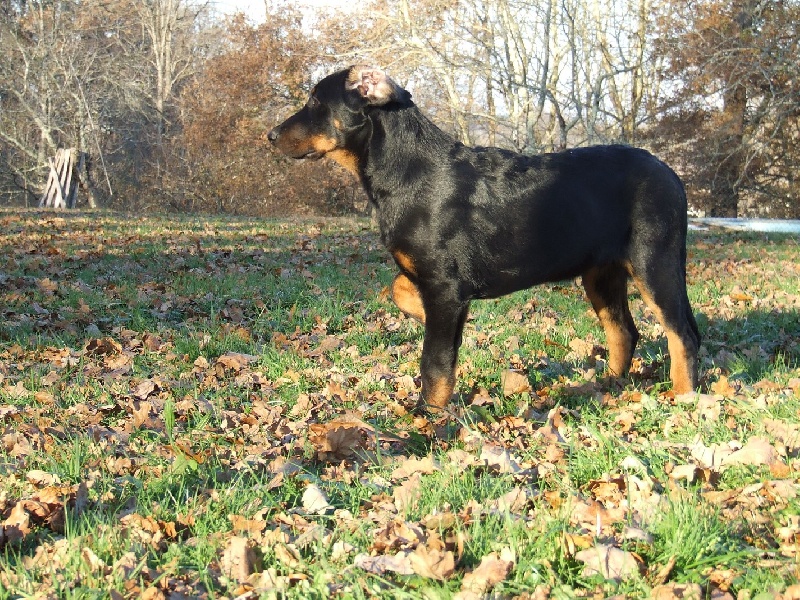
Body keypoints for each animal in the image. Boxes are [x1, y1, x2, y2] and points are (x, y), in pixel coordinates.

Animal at [266, 65, 696, 412]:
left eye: (315, 101)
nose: (269, 136)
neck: (406, 171)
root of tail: (671, 174)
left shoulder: (443, 284)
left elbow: (435, 362)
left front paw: (428, 417)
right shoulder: (434, 281)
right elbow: (398, 289)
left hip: (654, 262)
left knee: (683, 334)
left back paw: (684, 397)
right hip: (601, 274)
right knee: (625, 331)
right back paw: (606, 385)